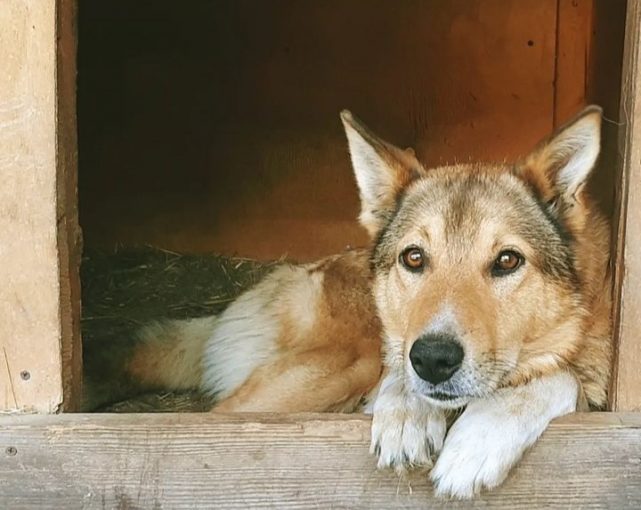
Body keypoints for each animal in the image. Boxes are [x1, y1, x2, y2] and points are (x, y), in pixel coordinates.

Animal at [85, 105, 608, 500]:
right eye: (414, 257)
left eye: (507, 261)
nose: (432, 359)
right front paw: (408, 411)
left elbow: (556, 378)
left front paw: (480, 436)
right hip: (335, 369)